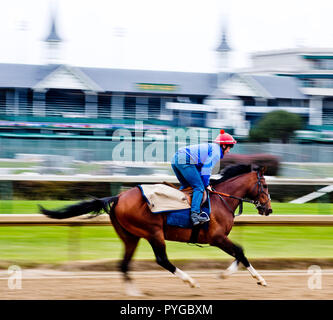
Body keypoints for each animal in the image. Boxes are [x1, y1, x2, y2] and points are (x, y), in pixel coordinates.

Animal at [39, 164, 272, 296]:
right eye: (266, 186)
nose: (268, 209)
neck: (222, 200)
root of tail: (118, 197)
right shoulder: (216, 237)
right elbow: (240, 252)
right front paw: (259, 279)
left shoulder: (220, 238)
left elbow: (238, 254)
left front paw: (225, 274)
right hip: (153, 232)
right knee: (162, 260)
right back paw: (191, 282)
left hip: (130, 236)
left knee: (123, 264)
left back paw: (134, 293)